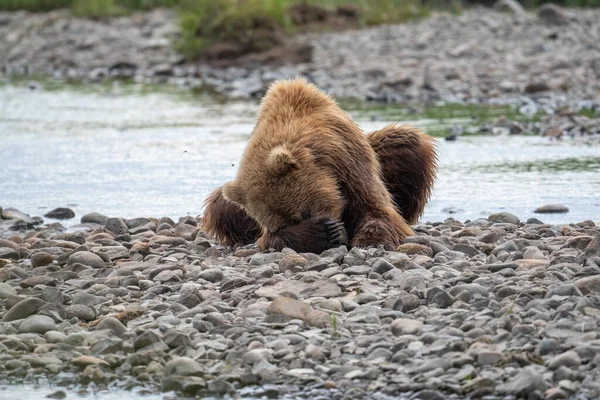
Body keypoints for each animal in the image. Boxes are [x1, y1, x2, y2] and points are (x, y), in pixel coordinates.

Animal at [202, 78, 436, 253]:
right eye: (281, 224)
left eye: (305, 212)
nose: (333, 230)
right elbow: (269, 240)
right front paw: (318, 234)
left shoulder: (351, 163)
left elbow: (376, 209)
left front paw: (371, 241)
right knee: (219, 204)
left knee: (406, 143)